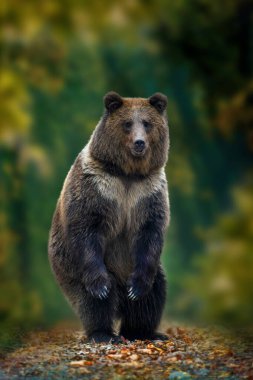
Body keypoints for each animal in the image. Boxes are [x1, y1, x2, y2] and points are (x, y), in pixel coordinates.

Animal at [48, 93, 170, 344]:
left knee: (154, 294)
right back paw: (103, 333)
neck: (128, 174)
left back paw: (145, 331)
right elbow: (86, 228)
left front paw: (137, 290)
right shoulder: (98, 186)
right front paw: (100, 288)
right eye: (127, 123)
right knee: (92, 302)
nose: (139, 143)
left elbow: (150, 230)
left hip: (141, 268)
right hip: (70, 269)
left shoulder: (148, 191)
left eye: (147, 123)